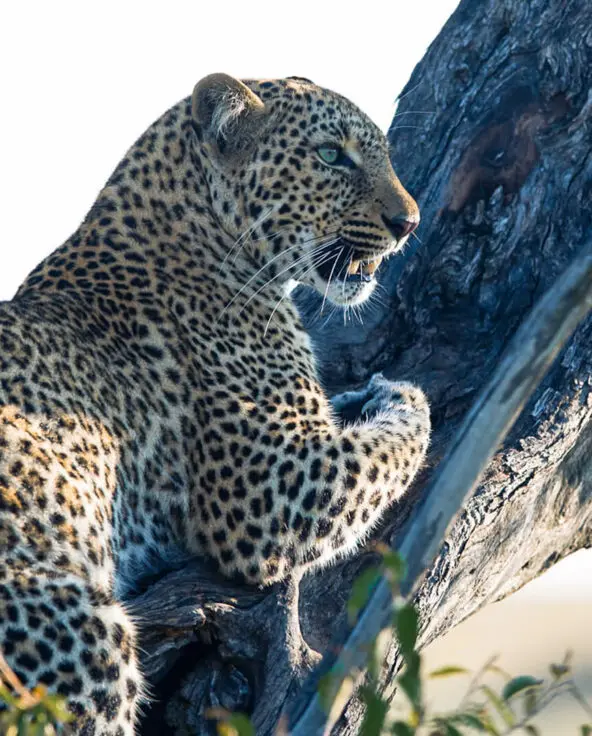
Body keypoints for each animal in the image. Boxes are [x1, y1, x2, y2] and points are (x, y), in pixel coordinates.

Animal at [0, 73, 430, 734]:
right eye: (332, 155)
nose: (407, 222)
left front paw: (360, 395)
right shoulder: (272, 487)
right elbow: (389, 445)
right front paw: (399, 394)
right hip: (78, 635)